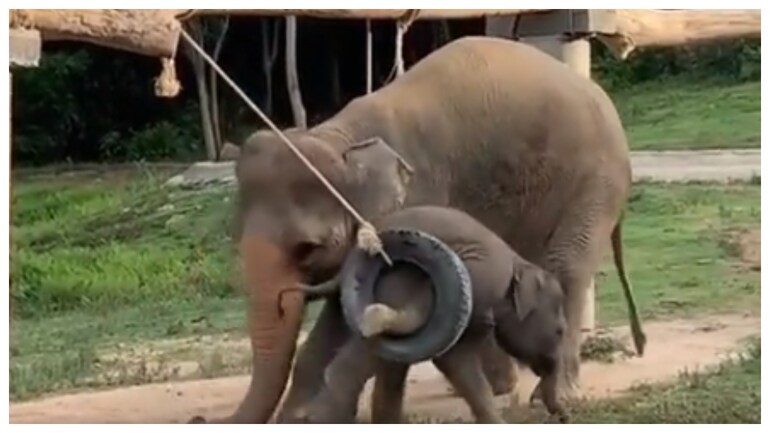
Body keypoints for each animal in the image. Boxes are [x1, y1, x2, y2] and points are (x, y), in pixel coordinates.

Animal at [279, 205, 569, 424]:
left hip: (347, 299)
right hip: (395, 281)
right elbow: (453, 359)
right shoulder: (481, 289)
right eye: (559, 332)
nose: (564, 417)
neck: (519, 263)